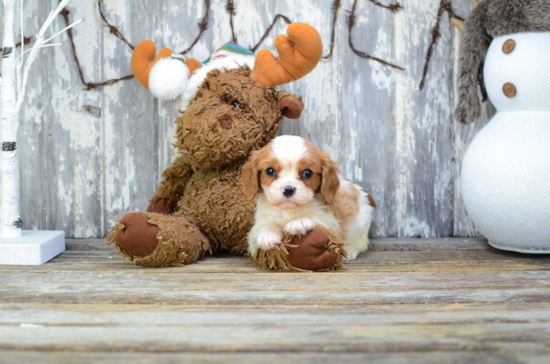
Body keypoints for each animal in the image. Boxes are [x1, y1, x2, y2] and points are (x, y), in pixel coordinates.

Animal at [244, 136, 378, 258]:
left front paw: (299, 221)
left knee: (361, 242)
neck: (289, 210)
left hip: (361, 225)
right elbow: (262, 226)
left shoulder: (332, 225)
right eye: (270, 171)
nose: (288, 189)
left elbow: (316, 218)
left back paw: (349, 251)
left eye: (307, 173)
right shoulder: (254, 234)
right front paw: (268, 234)